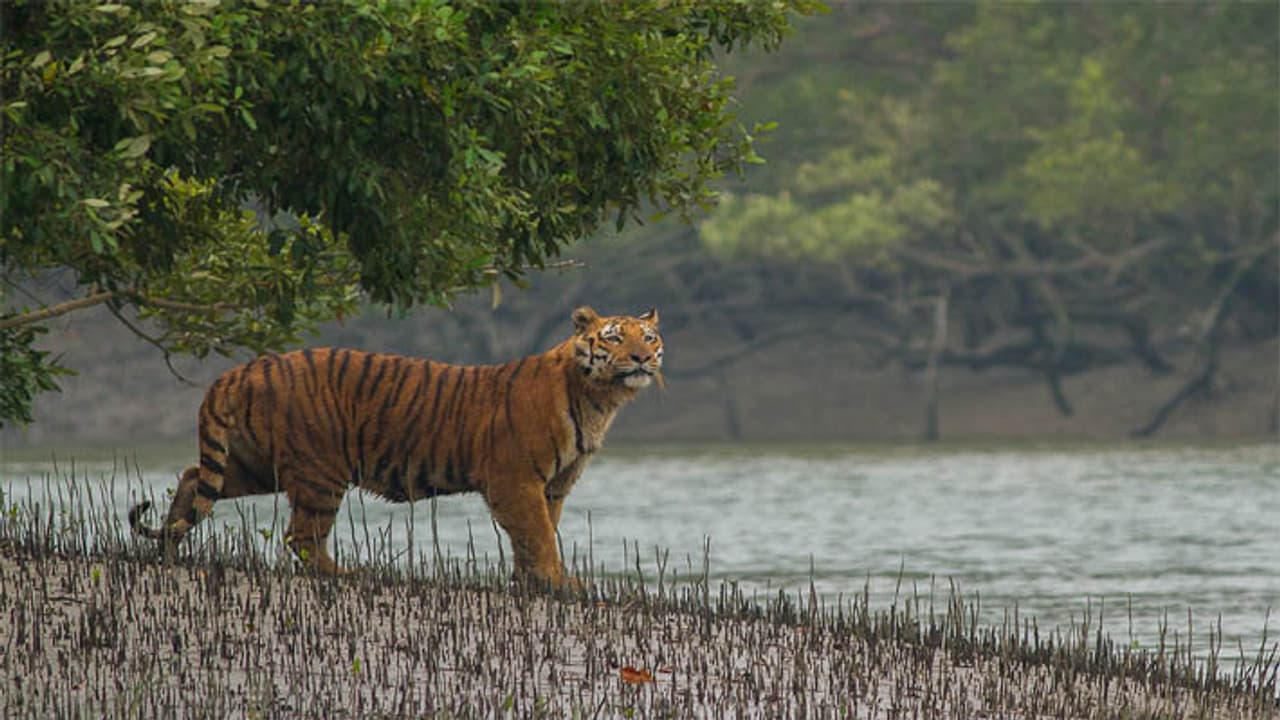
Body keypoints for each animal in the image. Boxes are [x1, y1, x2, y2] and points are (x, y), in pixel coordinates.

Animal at [128, 306, 663, 588]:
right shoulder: (515, 480)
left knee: (192, 479)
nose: (641, 358)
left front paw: (533, 581)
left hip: (255, 465)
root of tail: (241, 370)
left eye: (650, 337)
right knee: (301, 538)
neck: (598, 399)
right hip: (320, 471)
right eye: (614, 338)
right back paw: (347, 573)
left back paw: (170, 547)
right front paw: (557, 581)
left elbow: (538, 534)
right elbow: (537, 533)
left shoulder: (553, 485)